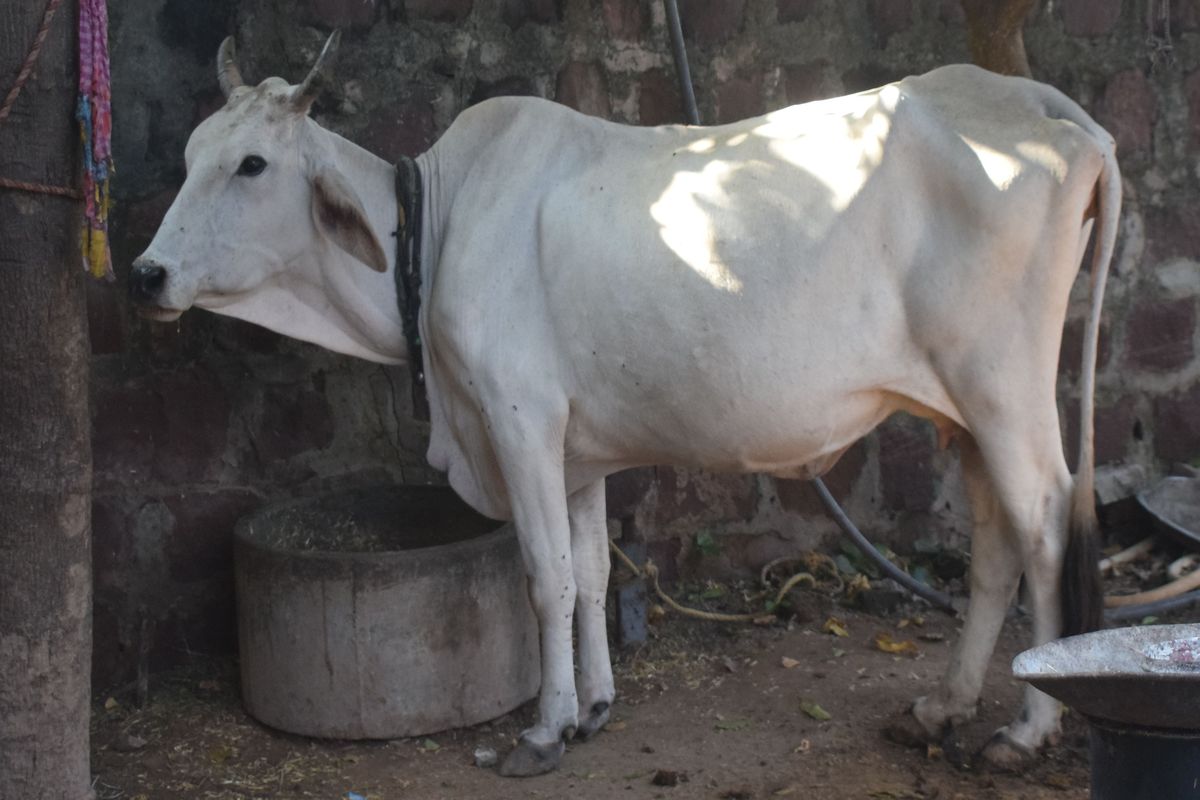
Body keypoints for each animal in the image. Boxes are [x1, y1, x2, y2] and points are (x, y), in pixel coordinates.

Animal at [131, 34, 1113, 777]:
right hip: (963, 411)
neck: (437, 227)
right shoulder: (576, 451)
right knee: (993, 544)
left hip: (1003, 386)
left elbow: (547, 576)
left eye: (252, 164)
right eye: (186, 157)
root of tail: (1038, 104)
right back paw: (941, 707)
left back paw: (1026, 730)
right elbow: (594, 571)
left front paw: (542, 731)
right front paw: (595, 706)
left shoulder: (519, 420)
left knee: (1044, 524)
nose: (147, 274)